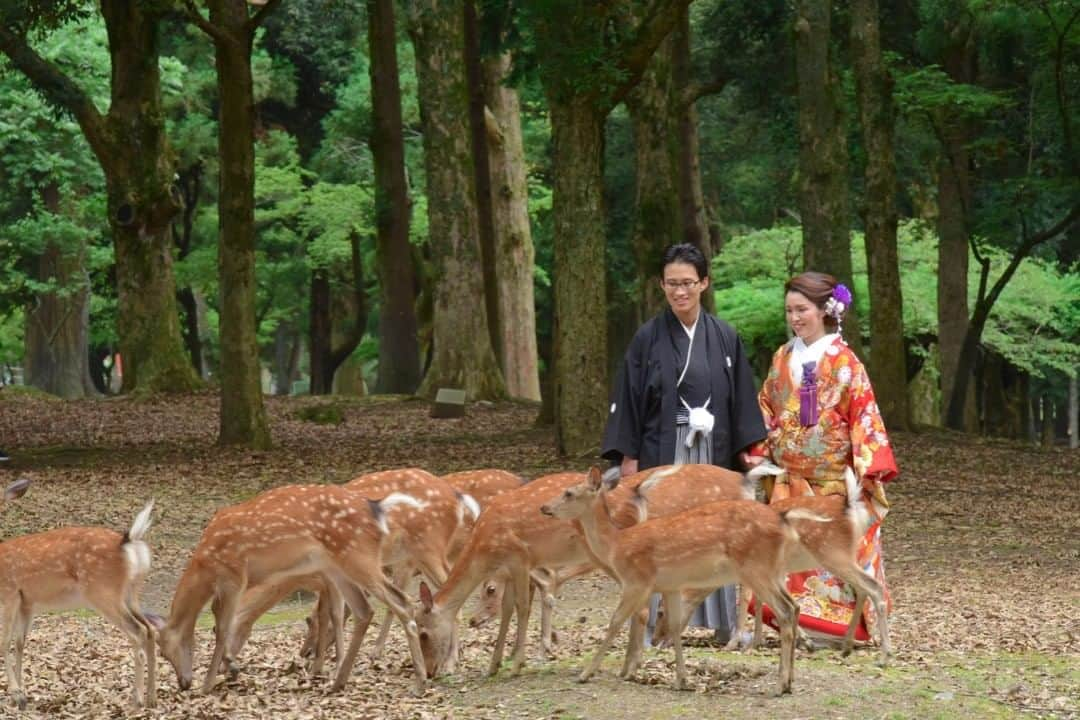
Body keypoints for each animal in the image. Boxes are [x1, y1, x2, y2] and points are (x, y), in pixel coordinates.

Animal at [0, 479, 157, 708]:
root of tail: (128, 541)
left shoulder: (10, 592)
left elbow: (5, 642)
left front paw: (15, 692)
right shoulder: (27, 603)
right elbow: (20, 643)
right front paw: (22, 694)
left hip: (102, 591)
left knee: (139, 631)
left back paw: (136, 699)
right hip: (131, 593)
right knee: (151, 629)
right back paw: (152, 698)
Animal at [155, 483, 429, 699]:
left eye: (165, 649)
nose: (183, 683)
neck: (205, 565)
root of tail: (377, 509)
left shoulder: (235, 576)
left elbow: (223, 628)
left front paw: (208, 683)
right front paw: (230, 669)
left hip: (358, 558)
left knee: (402, 601)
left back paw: (420, 683)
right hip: (338, 566)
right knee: (364, 610)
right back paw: (338, 682)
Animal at [535, 464, 820, 695]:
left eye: (569, 493)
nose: (544, 508)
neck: (616, 545)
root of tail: (784, 522)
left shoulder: (637, 580)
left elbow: (615, 621)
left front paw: (585, 674)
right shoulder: (671, 586)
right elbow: (675, 626)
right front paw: (681, 680)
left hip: (755, 568)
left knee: (783, 610)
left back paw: (780, 684)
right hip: (772, 570)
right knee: (794, 606)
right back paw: (790, 679)